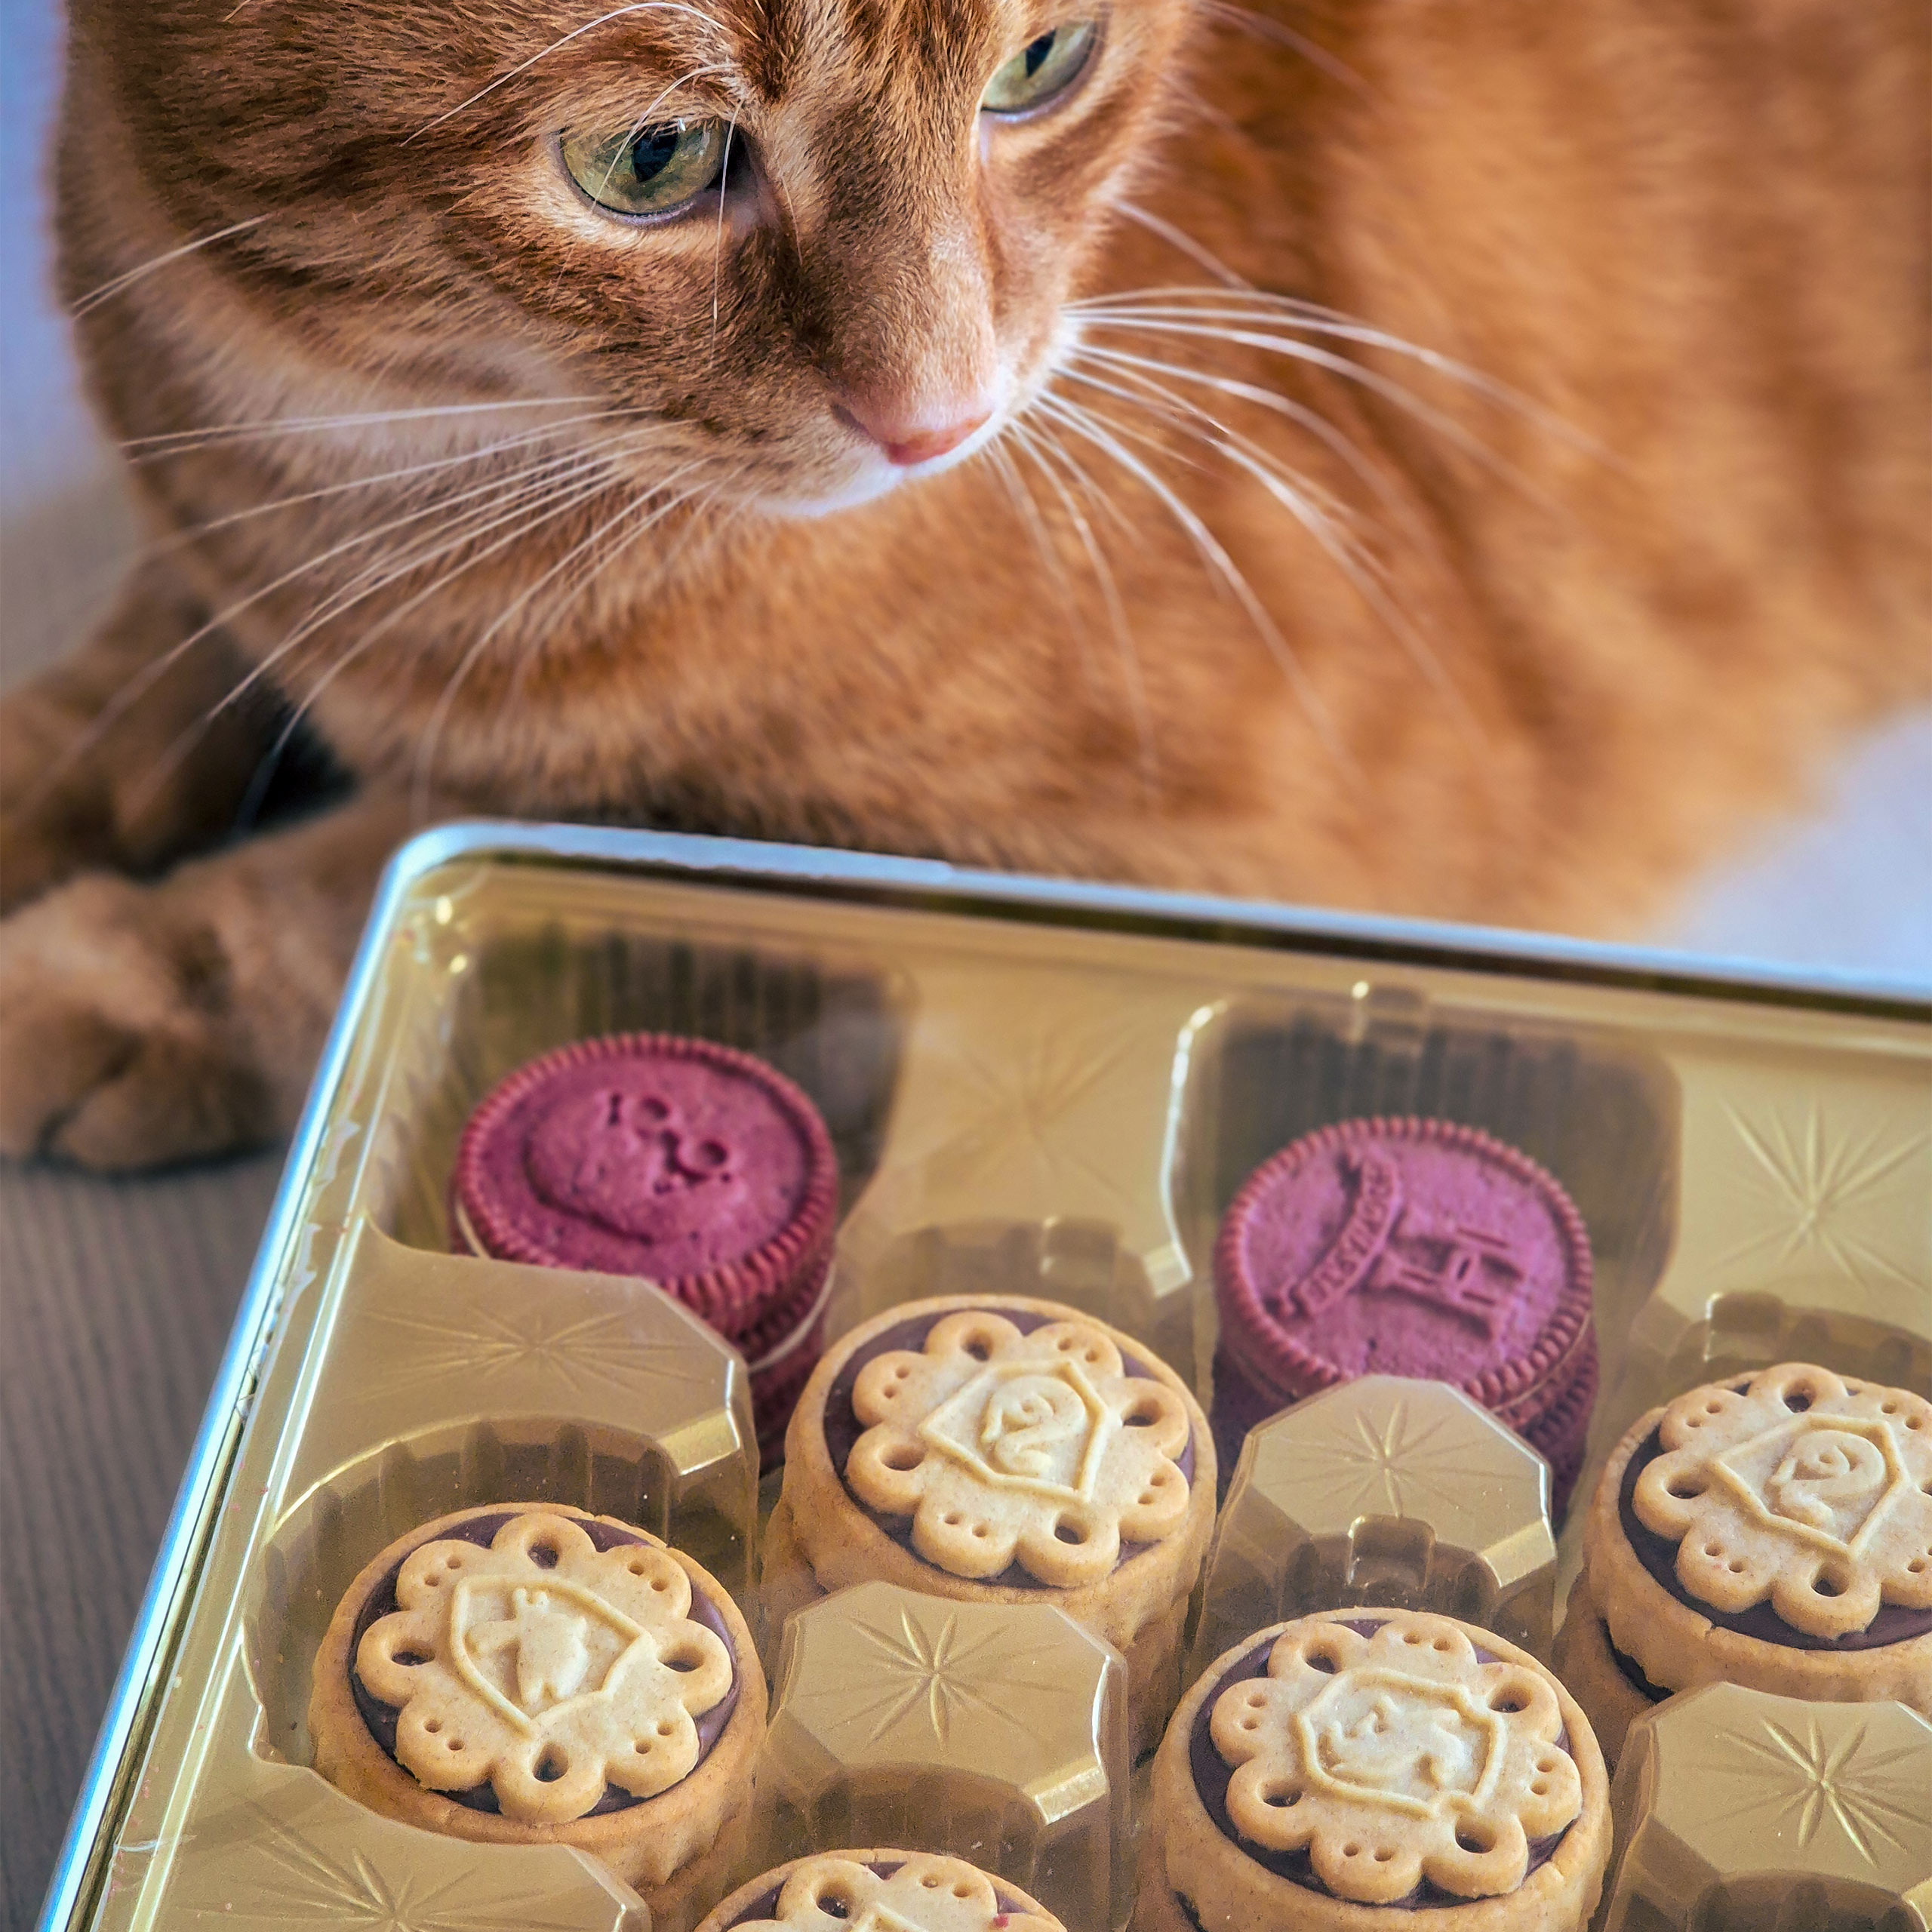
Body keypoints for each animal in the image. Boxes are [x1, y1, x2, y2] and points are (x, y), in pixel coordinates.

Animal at [0, 0, 1924, 1159]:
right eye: (648, 159)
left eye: (1043, 60)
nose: (943, 418)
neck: (371, 465)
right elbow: (154, 651)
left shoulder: (1203, 839)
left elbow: (384, 866)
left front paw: (127, 971)